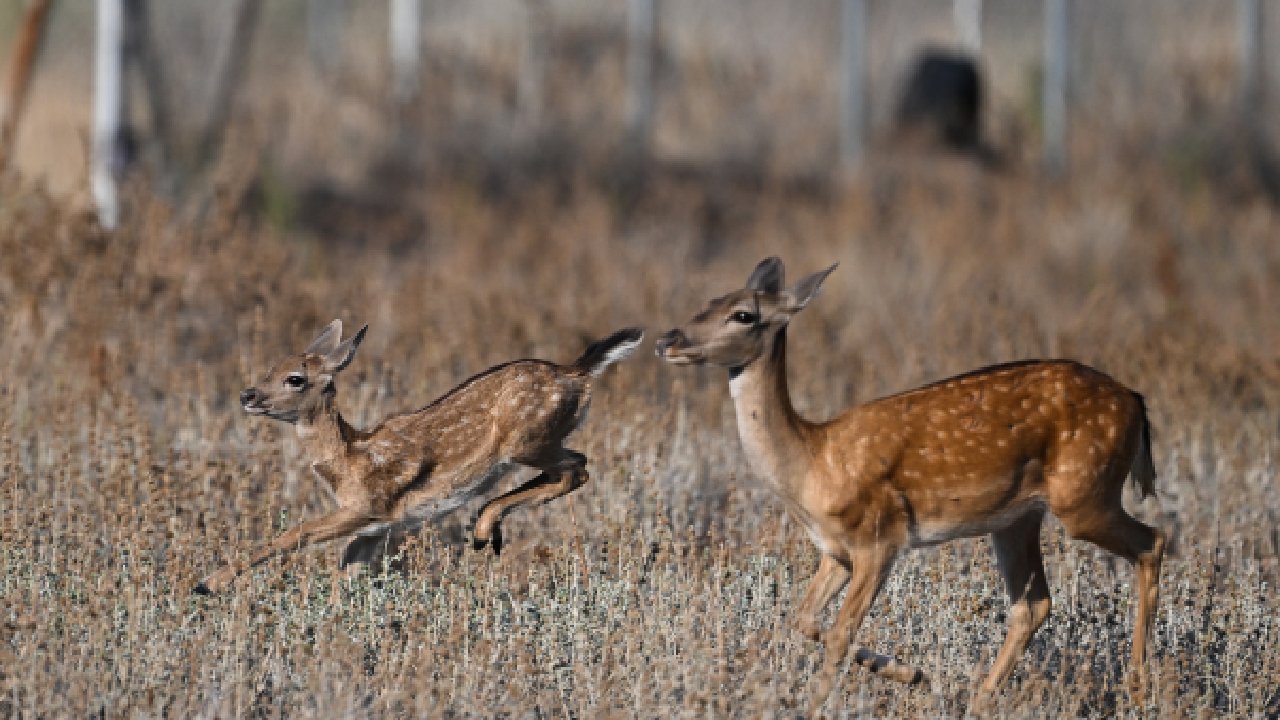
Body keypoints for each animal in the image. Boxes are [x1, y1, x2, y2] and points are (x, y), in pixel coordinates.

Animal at [193, 319, 640, 594]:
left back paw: (484, 529)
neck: (348, 460)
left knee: (576, 469)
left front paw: (208, 584)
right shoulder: (374, 529)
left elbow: (295, 533)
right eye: (270, 367)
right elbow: (345, 573)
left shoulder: (369, 507)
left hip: (527, 441)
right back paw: (486, 530)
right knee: (574, 467)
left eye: (295, 378)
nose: (247, 395)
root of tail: (579, 373)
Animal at [655, 256, 1167, 696]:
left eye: (743, 314)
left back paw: (1138, 686)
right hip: (1017, 517)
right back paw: (980, 699)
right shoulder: (835, 551)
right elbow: (802, 619)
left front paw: (822, 701)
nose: (667, 340)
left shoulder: (881, 537)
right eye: (709, 300)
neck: (813, 462)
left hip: (1084, 492)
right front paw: (913, 672)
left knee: (1153, 541)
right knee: (1033, 604)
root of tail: (1137, 403)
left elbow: (839, 632)